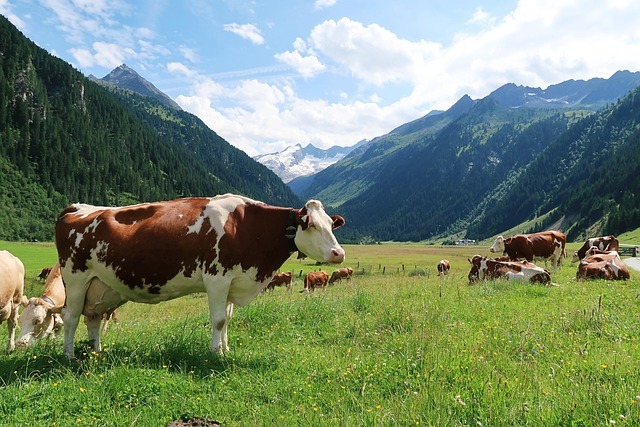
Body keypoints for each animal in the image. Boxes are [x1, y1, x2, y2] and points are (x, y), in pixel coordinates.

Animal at [55, 195, 344, 358]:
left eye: (332, 224)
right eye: (312, 225)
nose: (339, 253)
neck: (246, 227)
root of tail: (77, 207)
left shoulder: (232, 281)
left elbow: (227, 319)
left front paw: (226, 349)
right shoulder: (217, 278)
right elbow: (218, 320)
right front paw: (216, 353)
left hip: (99, 286)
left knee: (93, 318)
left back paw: (96, 352)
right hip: (75, 277)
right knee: (70, 317)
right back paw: (69, 355)